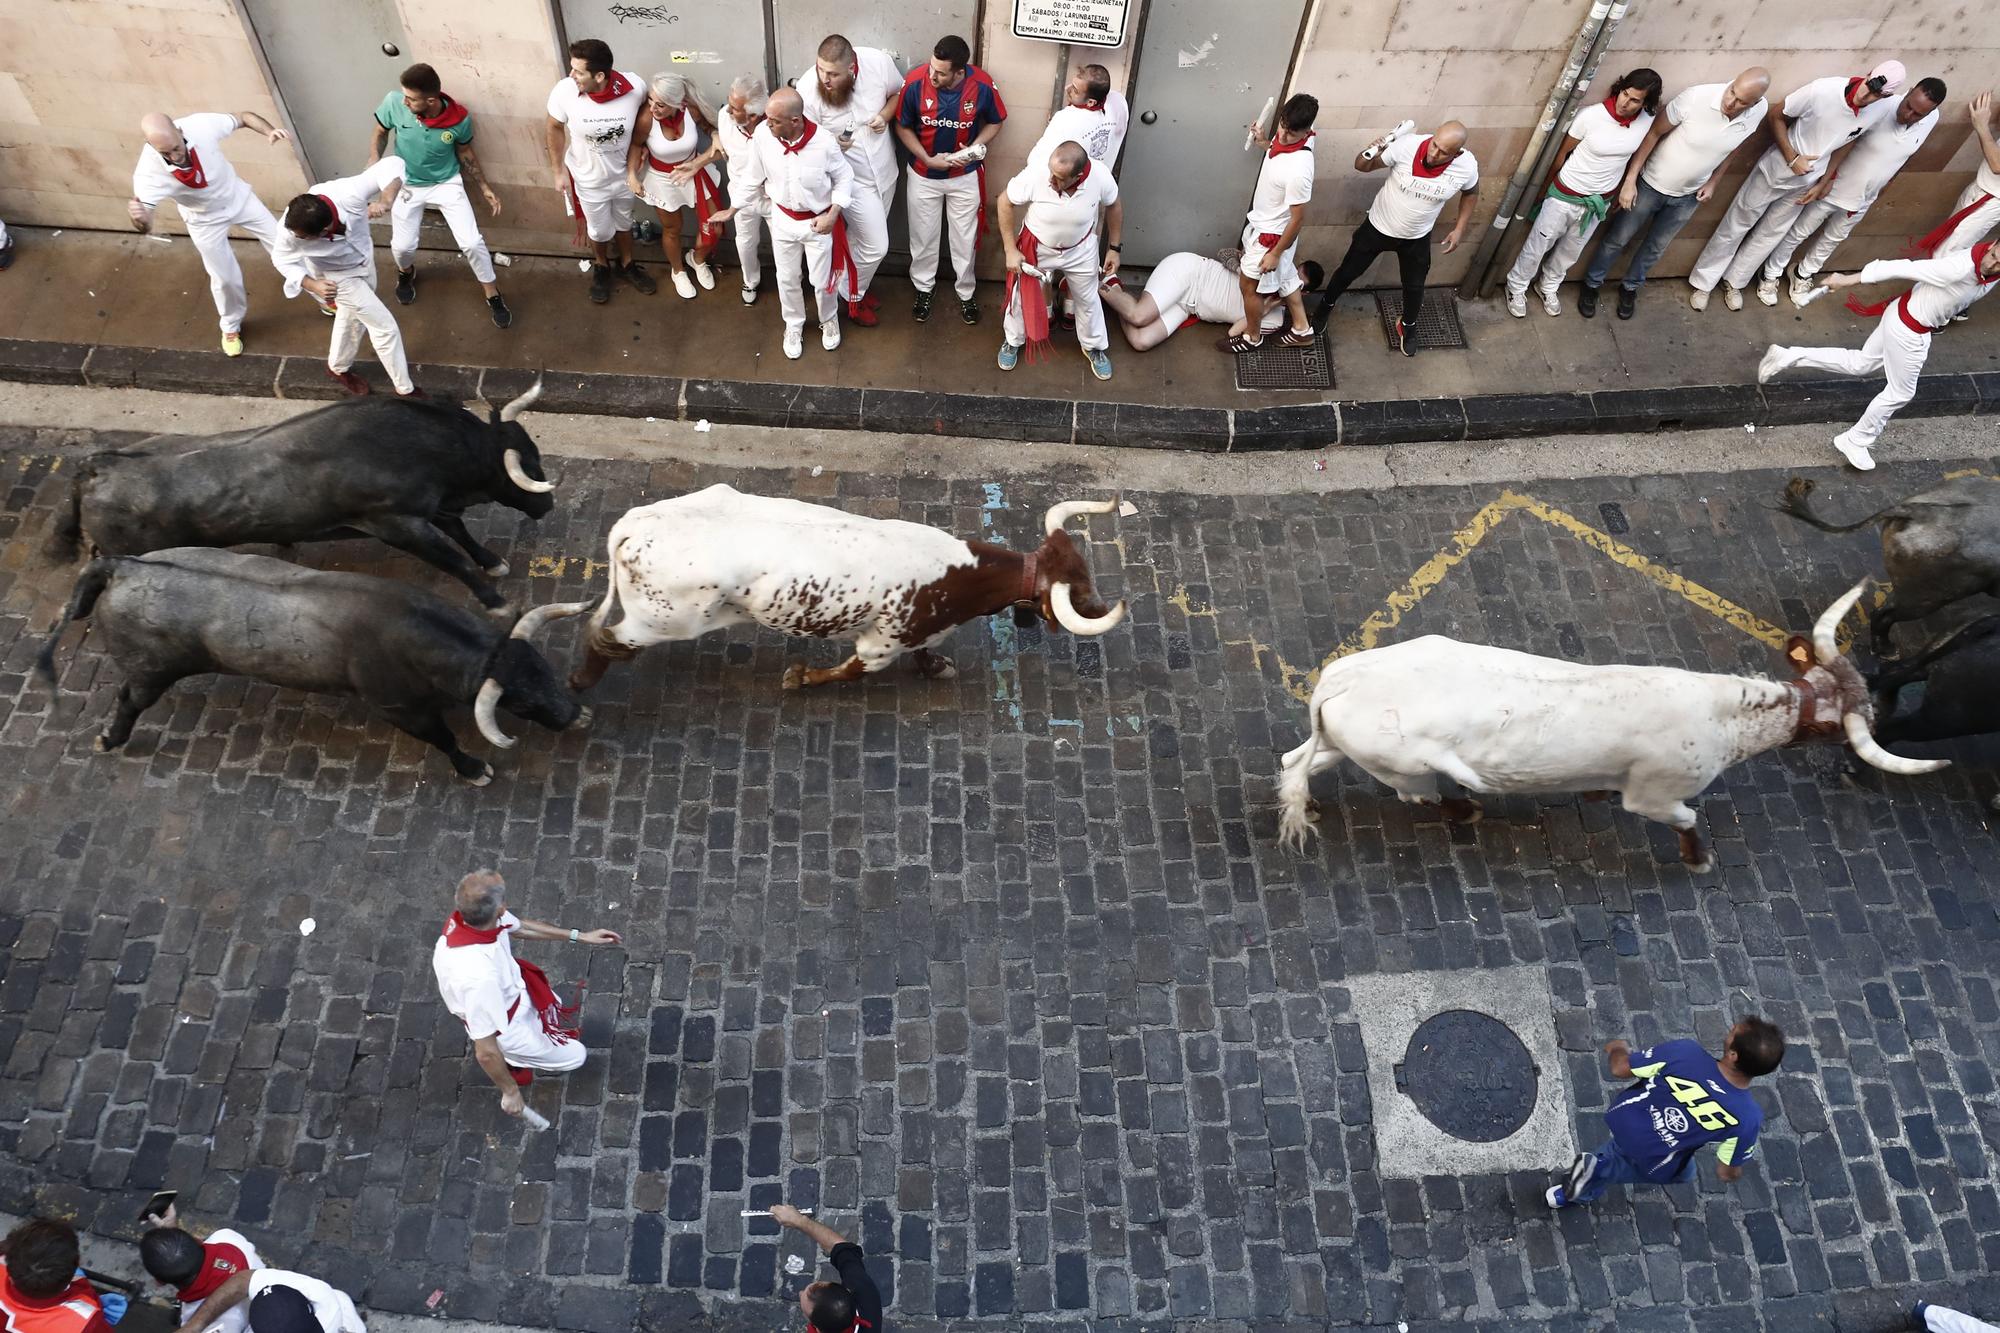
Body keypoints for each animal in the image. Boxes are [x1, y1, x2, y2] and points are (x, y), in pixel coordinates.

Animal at [37, 548, 592, 784]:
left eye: (545, 670)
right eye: (521, 701)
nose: (574, 715)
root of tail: (119, 565)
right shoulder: (401, 710)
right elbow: (445, 739)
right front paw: (473, 768)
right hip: (149, 672)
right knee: (128, 700)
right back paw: (110, 738)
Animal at [48, 382, 564, 608]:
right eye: (529, 466)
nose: (547, 504)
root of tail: (96, 466)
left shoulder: (431, 507)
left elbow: (461, 533)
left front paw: (492, 562)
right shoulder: (397, 524)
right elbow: (452, 559)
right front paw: (493, 599)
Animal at [564, 486, 1128, 688]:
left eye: (1086, 574)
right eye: (1079, 593)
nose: (1101, 602)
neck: (956, 575)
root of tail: (635, 523)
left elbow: (926, 654)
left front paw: (936, 667)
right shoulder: (879, 645)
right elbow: (847, 670)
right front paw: (800, 678)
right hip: (660, 621)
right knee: (607, 639)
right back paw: (581, 687)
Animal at [1272, 580, 1944, 868]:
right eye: (1834, 729)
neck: (1721, 713)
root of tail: (1340, 681)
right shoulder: (1655, 796)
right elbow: (1686, 821)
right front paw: (1697, 859)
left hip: (1348, 745)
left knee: (1293, 764)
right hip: (1406, 769)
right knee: (1423, 796)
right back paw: (1468, 809)